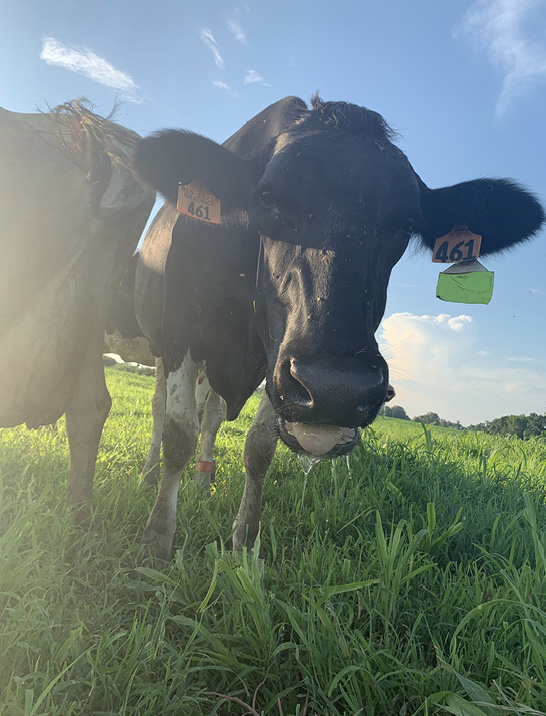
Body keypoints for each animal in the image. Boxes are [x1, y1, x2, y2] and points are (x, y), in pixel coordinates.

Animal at [132, 95, 540, 564]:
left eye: (407, 223)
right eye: (267, 198)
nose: (335, 389)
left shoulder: (274, 358)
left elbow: (259, 446)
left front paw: (244, 543)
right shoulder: (179, 325)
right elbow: (177, 431)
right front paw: (156, 540)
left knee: (212, 416)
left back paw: (202, 480)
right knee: (162, 409)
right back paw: (149, 475)